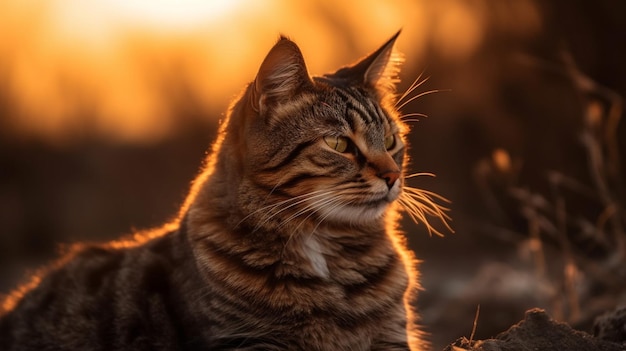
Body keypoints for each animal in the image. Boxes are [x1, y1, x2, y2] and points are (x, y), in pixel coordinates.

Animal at [0, 31, 448, 350]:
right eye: (339, 144)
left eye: (391, 141)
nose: (393, 175)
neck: (328, 252)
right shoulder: (245, 342)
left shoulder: (390, 337)